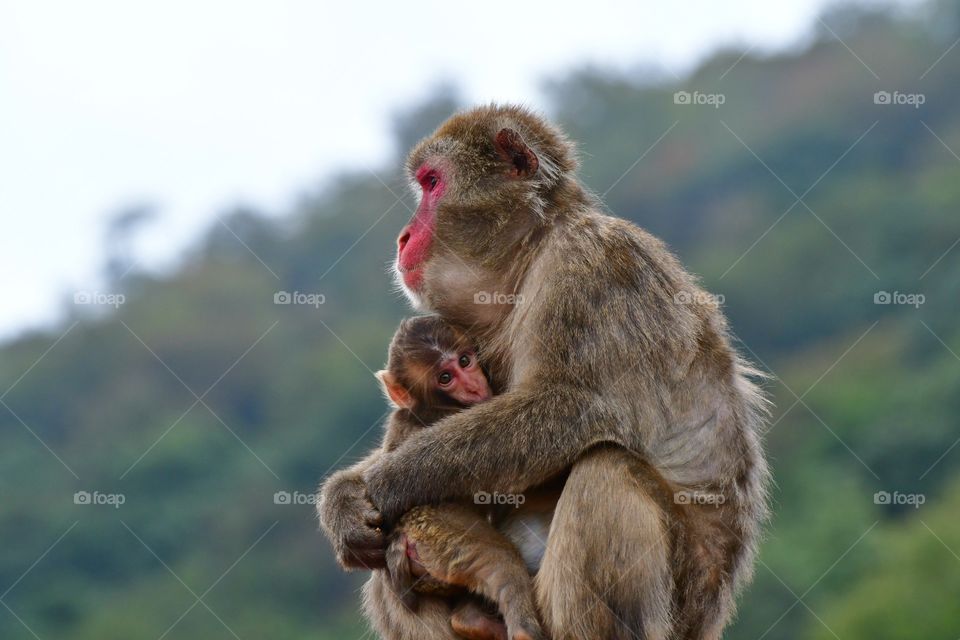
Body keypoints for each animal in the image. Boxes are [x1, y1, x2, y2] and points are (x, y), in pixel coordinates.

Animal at [319, 315, 545, 640]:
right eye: (445, 378)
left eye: (464, 361)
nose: (474, 386)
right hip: (441, 536)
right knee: (501, 563)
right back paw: (519, 625)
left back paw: (472, 620)